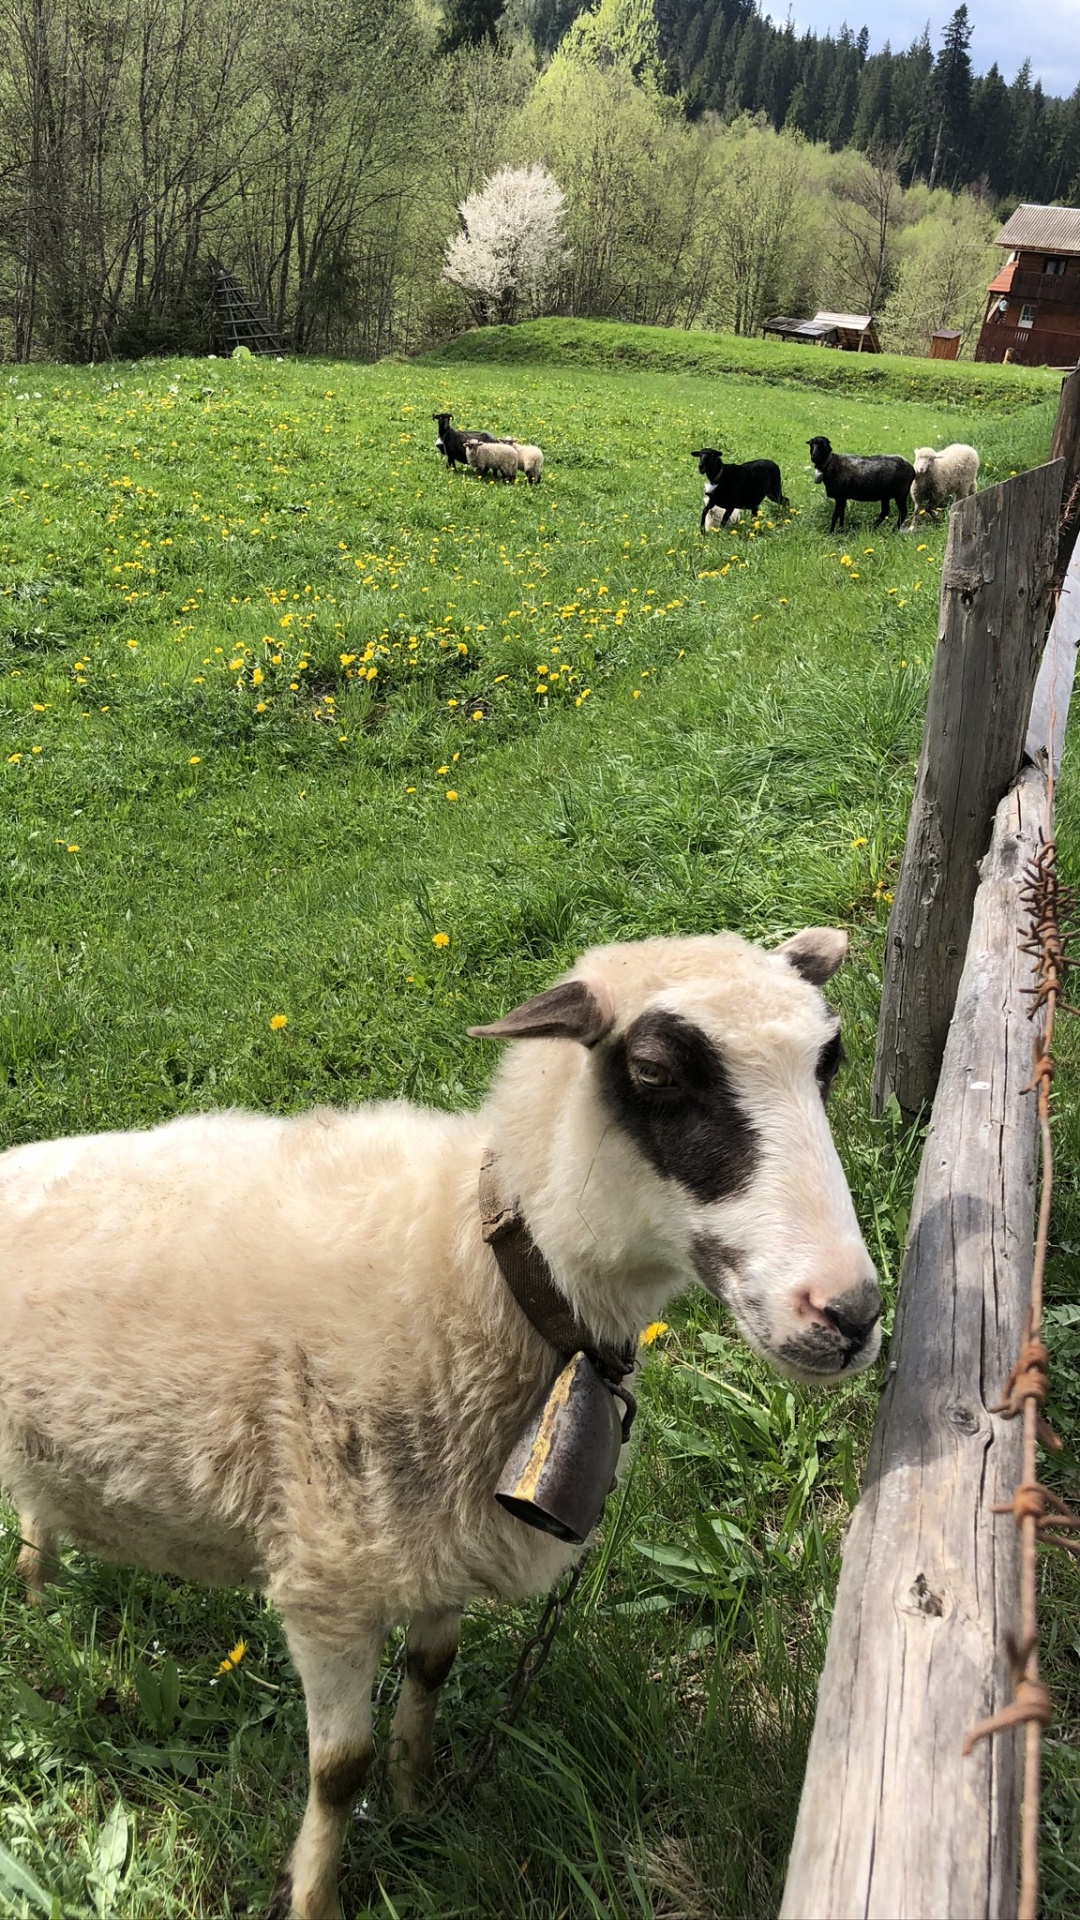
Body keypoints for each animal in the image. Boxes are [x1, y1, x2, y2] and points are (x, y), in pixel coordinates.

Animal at [1, 927, 880, 1920]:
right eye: (654, 1072)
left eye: (830, 1061)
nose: (850, 1315)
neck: (481, 1264)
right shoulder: (329, 1577)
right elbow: (340, 1770)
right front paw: (317, 1894)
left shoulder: (447, 1533)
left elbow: (432, 1673)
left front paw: (418, 1800)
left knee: (35, 1505)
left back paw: (40, 1590)